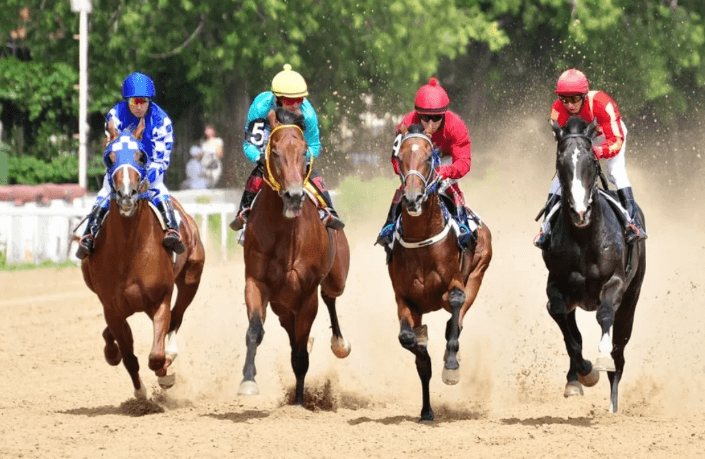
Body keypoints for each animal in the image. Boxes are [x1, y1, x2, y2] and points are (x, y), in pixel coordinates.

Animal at [81, 118, 205, 399]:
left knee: (177, 316)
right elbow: (129, 357)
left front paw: (166, 372)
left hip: (191, 278)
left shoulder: (160, 299)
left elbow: (156, 355)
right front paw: (139, 392)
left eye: (141, 156)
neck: (130, 251)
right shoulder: (112, 308)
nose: (127, 194)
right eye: (110, 157)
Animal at [237, 108, 351, 405]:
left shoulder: (306, 294)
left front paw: (299, 402)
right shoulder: (256, 282)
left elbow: (301, 355)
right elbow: (254, 330)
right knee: (291, 332)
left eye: (303, 152)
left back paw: (340, 344)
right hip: (282, 305)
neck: (285, 232)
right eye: (275, 151)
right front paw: (248, 380)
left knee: (330, 297)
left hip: (336, 277)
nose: (294, 195)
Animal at [387, 124, 492, 423]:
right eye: (399, 157)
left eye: (428, 157)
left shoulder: (454, 285)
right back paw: (426, 410)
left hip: (478, 274)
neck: (421, 240)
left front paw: (451, 365)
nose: (412, 198)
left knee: (458, 319)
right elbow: (408, 339)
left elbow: (455, 306)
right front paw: (422, 349)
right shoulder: (405, 299)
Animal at [543, 115, 646, 413]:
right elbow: (564, 324)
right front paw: (583, 374)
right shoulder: (556, 284)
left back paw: (613, 405)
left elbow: (605, 316)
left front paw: (600, 360)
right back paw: (574, 377)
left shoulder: (616, 283)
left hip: (632, 298)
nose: (580, 211)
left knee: (620, 351)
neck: (584, 236)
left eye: (590, 159)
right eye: (560, 161)